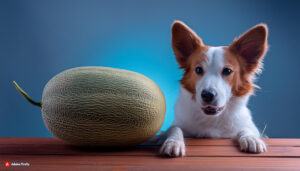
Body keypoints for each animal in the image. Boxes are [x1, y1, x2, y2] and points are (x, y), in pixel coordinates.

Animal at [158, 20, 268, 157]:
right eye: (198, 69)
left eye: (227, 71)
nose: (207, 95)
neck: (212, 120)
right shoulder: (177, 125)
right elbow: (174, 128)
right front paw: (173, 142)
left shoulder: (247, 126)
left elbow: (246, 129)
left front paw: (251, 139)